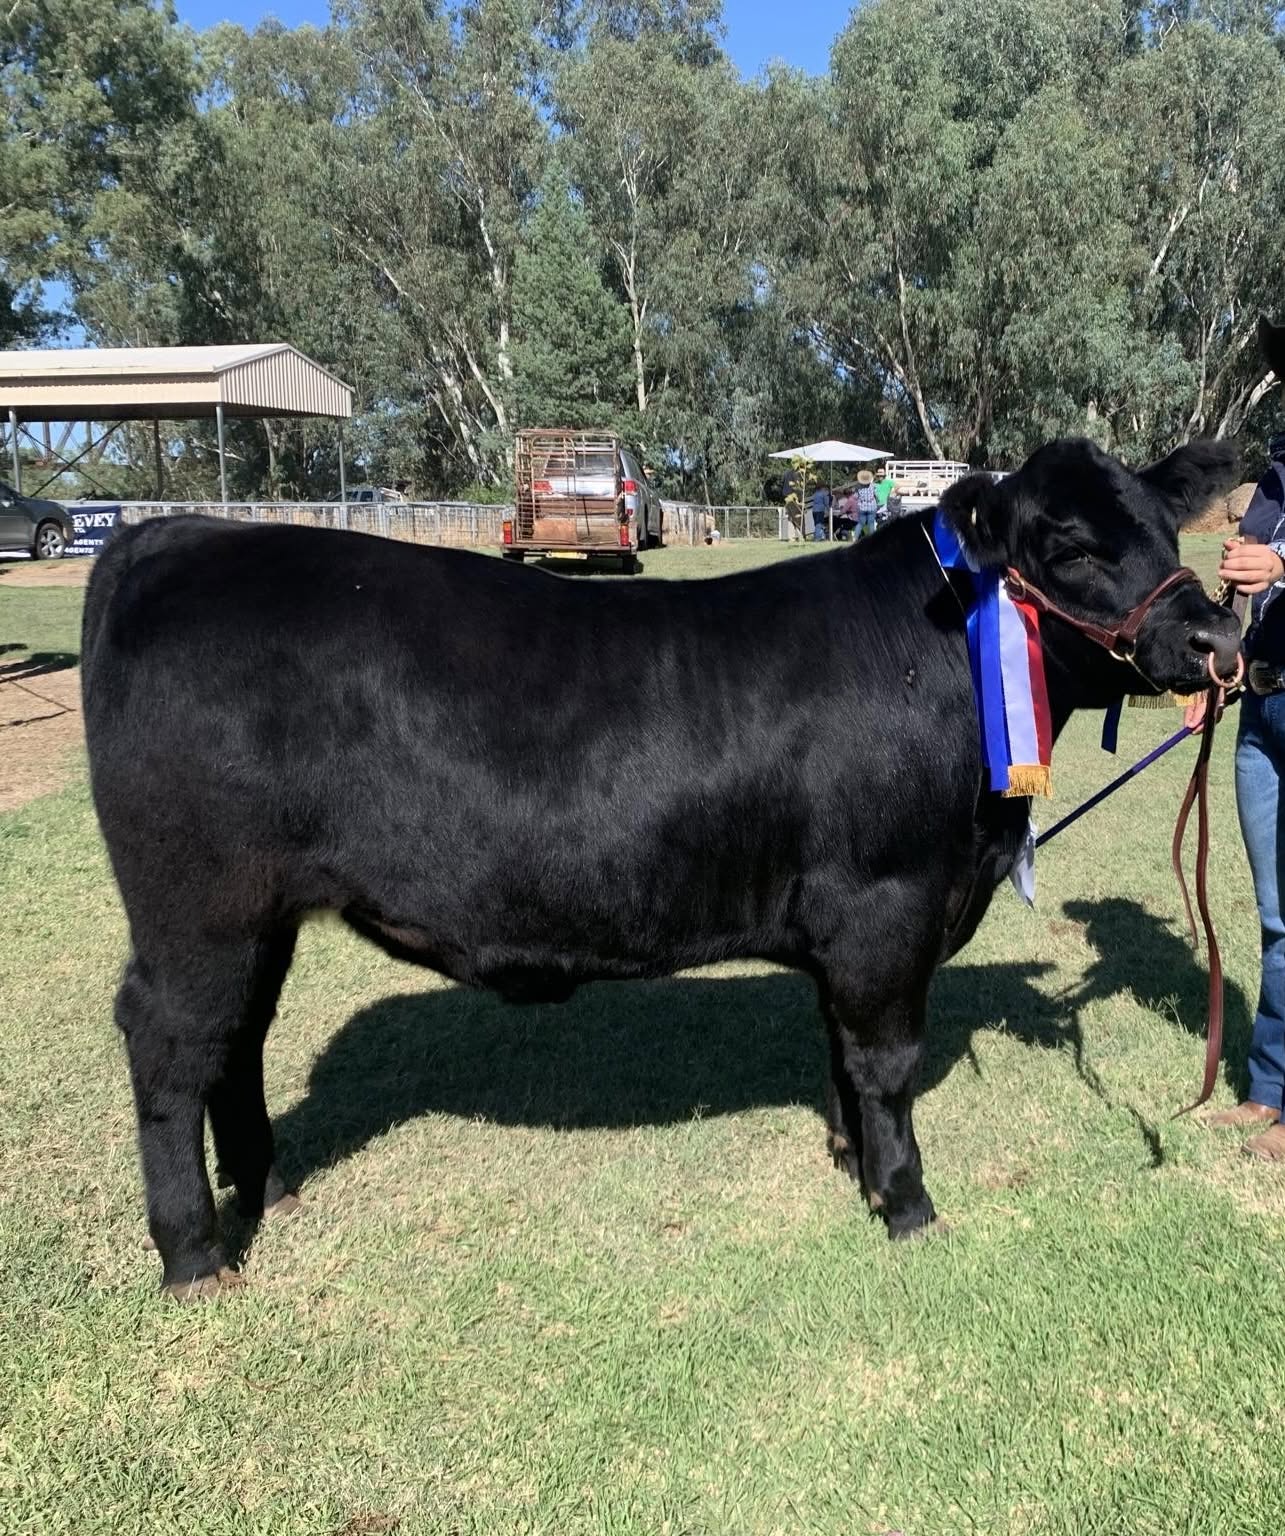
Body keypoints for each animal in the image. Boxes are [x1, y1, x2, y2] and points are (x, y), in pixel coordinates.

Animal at [82, 436, 1241, 1297]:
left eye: (1163, 527)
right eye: (1068, 545)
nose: (1215, 639)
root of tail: (174, 536)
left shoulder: (846, 925)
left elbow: (840, 1054)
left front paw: (854, 1164)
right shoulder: (886, 904)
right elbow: (886, 1063)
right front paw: (907, 1201)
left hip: (256, 914)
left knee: (236, 1039)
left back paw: (268, 1190)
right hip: (197, 906)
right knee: (173, 1045)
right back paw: (194, 1254)